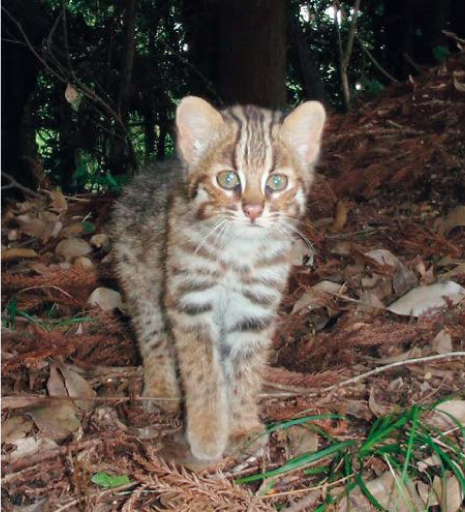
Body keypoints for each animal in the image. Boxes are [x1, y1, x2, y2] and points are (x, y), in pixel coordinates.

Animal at [110, 96, 324, 460]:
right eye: (227, 179)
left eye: (276, 182)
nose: (253, 210)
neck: (239, 251)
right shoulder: (191, 300)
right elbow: (202, 371)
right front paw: (207, 432)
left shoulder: (256, 307)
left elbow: (245, 370)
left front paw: (241, 426)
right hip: (141, 282)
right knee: (152, 335)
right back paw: (161, 387)